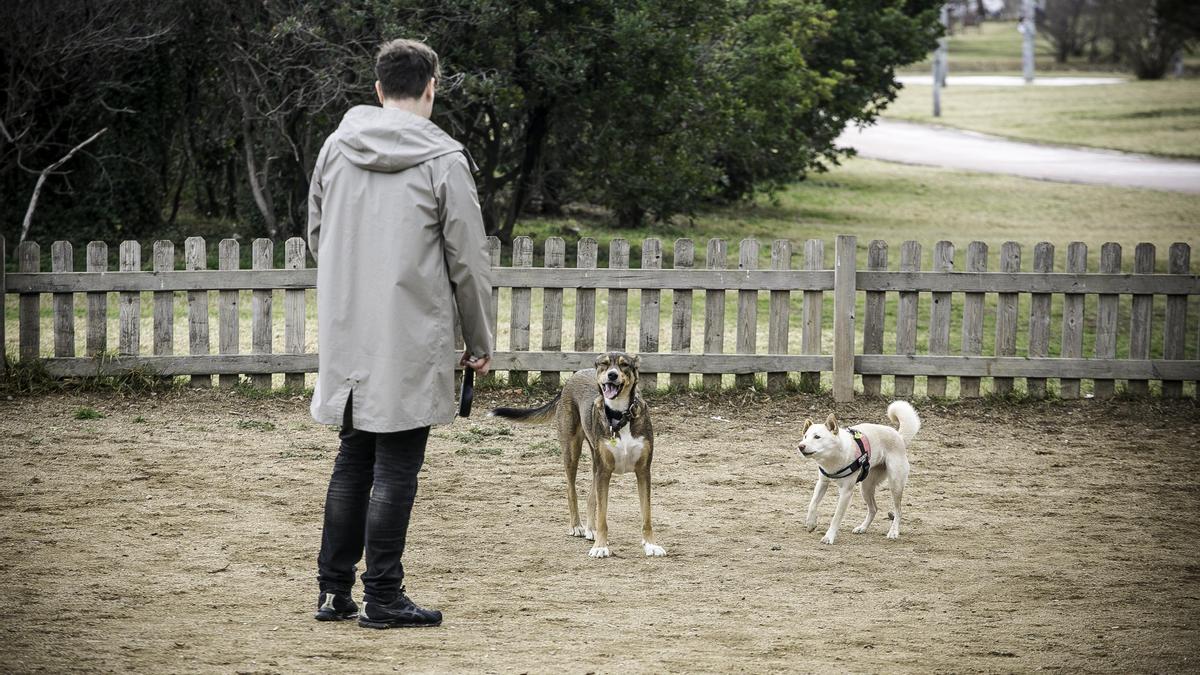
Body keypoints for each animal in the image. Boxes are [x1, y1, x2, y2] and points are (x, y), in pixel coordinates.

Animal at [796, 398, 916, 540]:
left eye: (817, 437)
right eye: (805, 436)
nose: (801, 446)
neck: (833, 457)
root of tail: (899, 436)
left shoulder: (846, 492)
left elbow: (836, 517)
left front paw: (829, 537)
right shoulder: (822, 483)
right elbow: (812, 504)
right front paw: (810, 523)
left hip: (895, 484)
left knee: (898, 511)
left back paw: (893, 532)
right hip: (866, 487)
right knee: (874, 509)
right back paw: (862, 528)